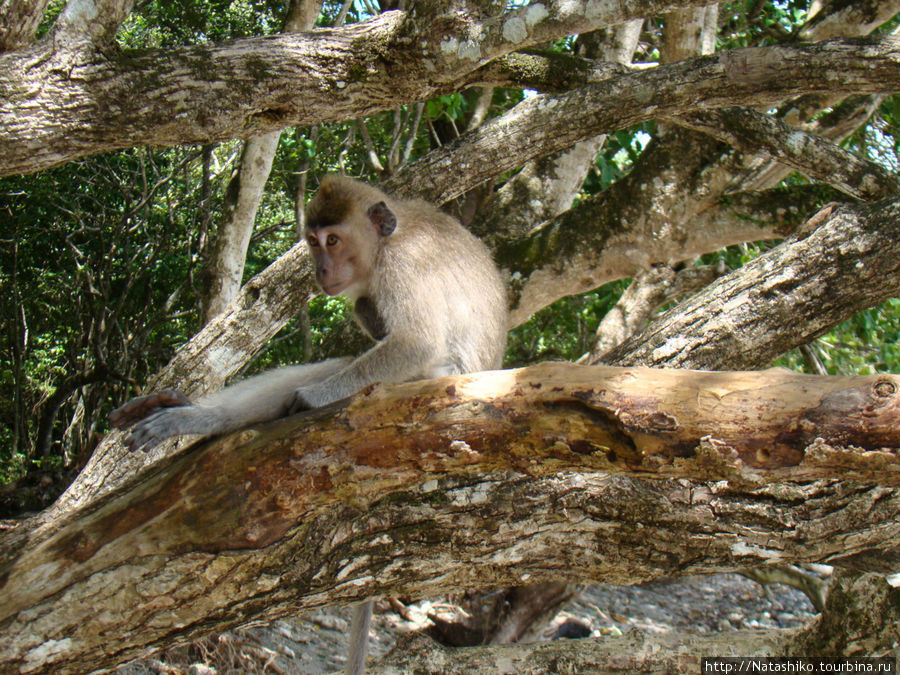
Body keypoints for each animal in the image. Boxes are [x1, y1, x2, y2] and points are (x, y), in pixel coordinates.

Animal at [109, 176, 510, 675]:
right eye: (313, 242)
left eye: (333, 241)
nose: (321, 269)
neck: (386, 242)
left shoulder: (404, 266)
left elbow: (415, 341)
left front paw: (308, 399)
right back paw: (187, 413)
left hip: (436, 380)